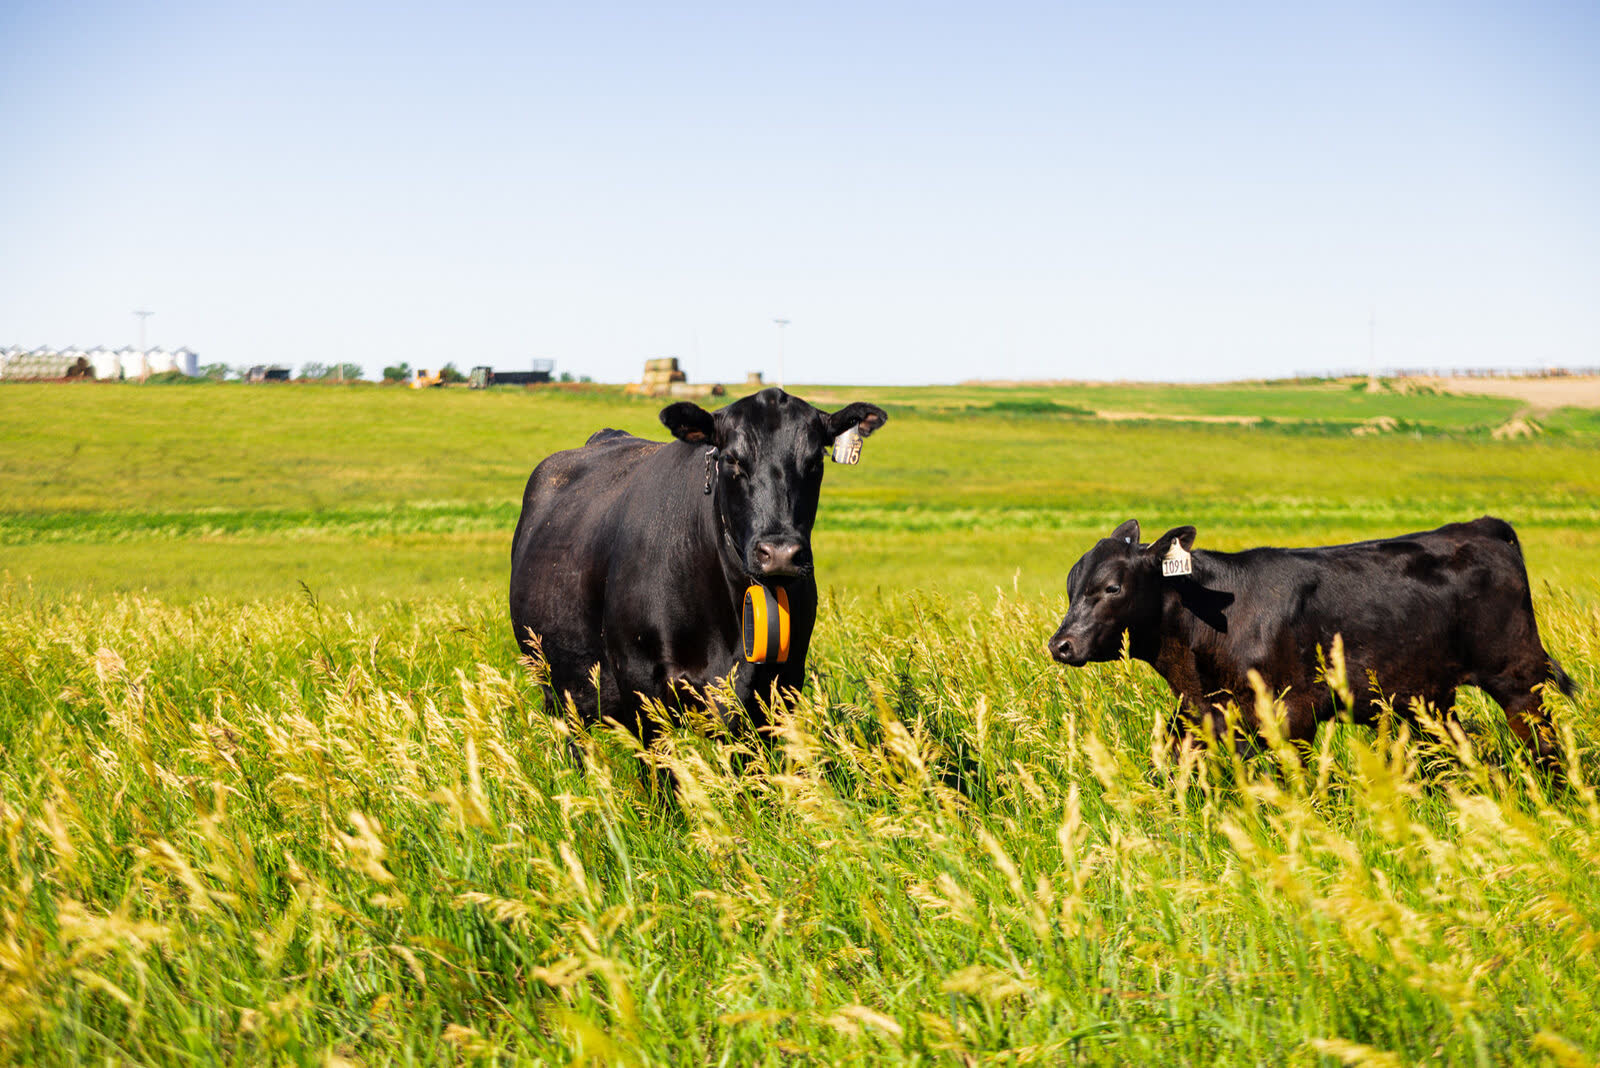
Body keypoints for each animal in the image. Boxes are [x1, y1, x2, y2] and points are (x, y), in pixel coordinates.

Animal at [510, 387, 887, 747]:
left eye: (814, 461)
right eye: (731, 459)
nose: (780, 552)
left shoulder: (781, 683)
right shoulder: (641, 683)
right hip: (556, 688)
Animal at [1047, 517, 1572, 772]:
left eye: (1112, 587)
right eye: (1071, 584)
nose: (1061, 645)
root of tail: (1480, 528)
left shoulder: (1291, 714)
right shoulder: (1200, 717)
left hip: (1518, 677)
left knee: (1545, 745)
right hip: (1430, 697)